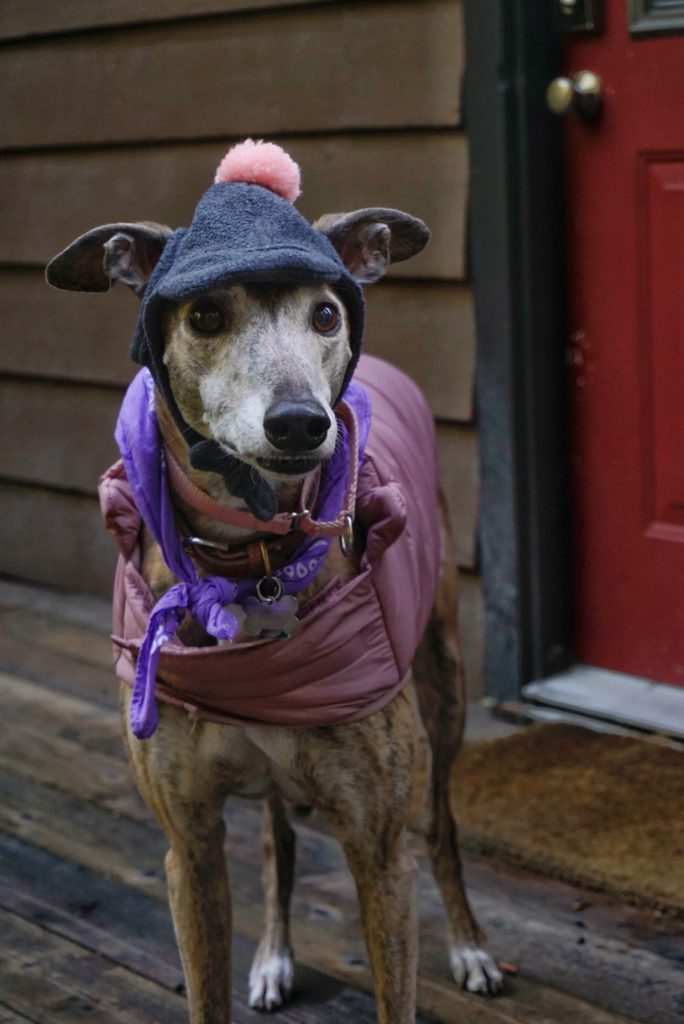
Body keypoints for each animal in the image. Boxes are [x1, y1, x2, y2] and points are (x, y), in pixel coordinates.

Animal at [45, 144, 499, 1024]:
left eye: (325, 315)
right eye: (204, 317)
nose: (300, 424)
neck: (249, 567)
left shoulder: (380, 850)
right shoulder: (187, 846)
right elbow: (207, 979)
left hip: (445, 687)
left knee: (443, 827)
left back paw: (470, 946)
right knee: (274, 838)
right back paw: (273, 955)